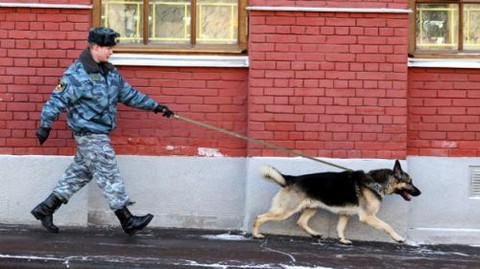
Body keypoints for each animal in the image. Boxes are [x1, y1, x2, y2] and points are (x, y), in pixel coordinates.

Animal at [251, 160, 420, 244]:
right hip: (285, 211)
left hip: (311, 208)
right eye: (410, 182)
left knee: (301, 222)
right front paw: (398, 238)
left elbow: (340, 228)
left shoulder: (345, 214)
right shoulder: (368, 217)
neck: (377, 182)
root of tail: (291, 178)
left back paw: (315, 234)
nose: (420, 193)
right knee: (259, 217)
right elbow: (387, 226)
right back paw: (256, 235)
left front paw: (343, 240)